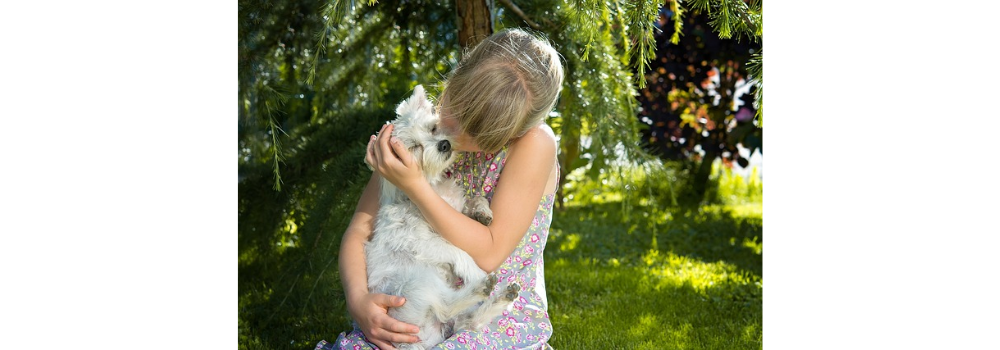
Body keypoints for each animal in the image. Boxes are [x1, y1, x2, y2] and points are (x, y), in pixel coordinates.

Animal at [368, 85, 524, 350]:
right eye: (414, 147)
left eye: (433, 128)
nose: (443, 144)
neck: (431, 189)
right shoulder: (421, 242)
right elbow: (458, 251)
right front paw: (474, 271)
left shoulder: (455, 209)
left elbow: (475, 199)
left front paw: (482, 212)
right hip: (416, 284)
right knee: (446, 305)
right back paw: (483, 285)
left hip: (447, 312)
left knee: (471, 320)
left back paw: (504, 296)